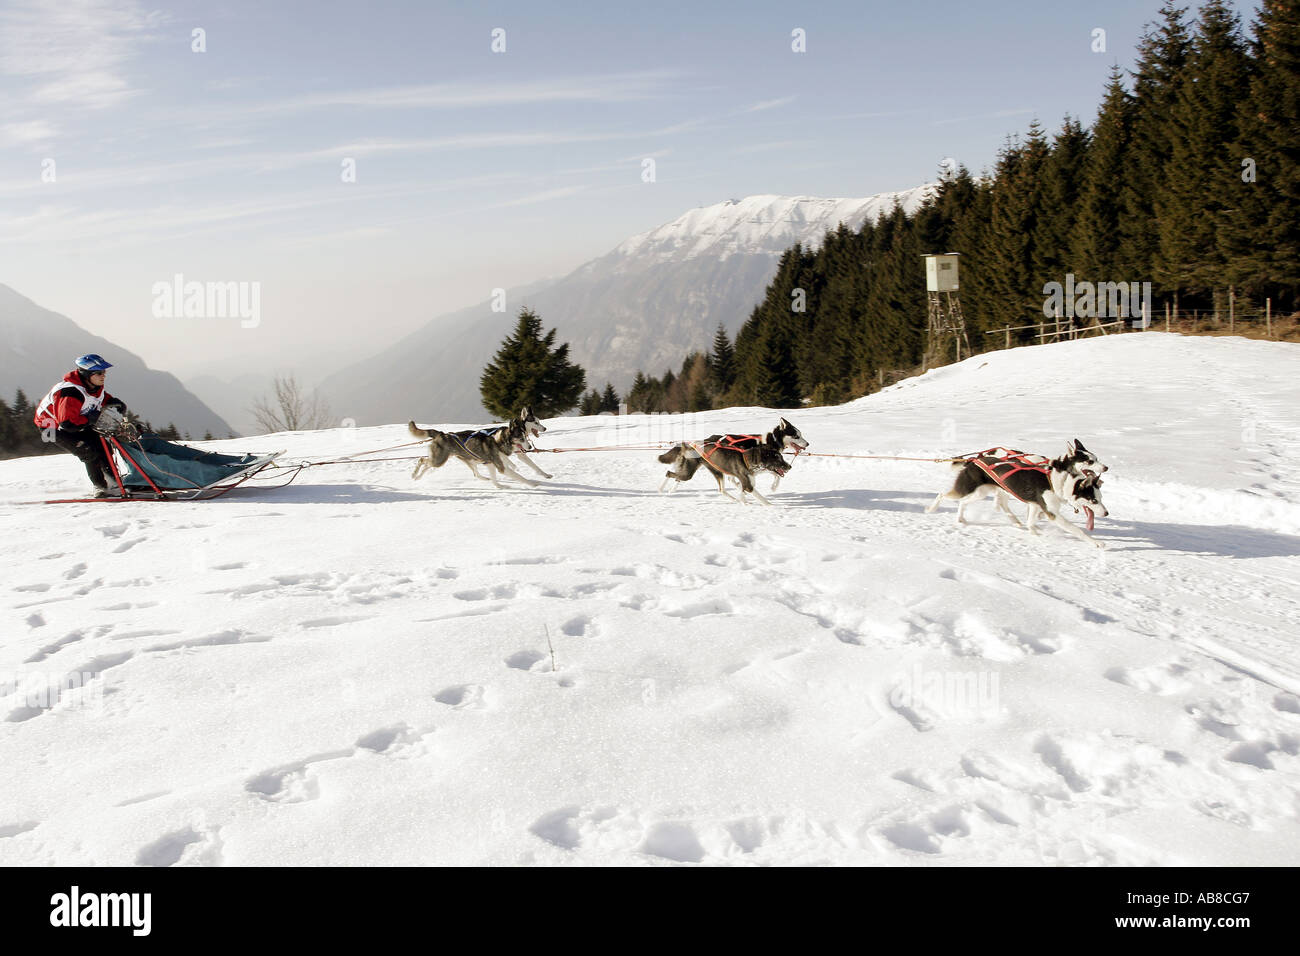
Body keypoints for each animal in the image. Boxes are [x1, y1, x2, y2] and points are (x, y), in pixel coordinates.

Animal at [655, 416, 806, 494]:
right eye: (796, 436)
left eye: (800, 434)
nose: (808, 443)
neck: (771, 441)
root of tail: (705, 440)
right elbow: (776, 475)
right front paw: (773, 487)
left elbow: (776, 473)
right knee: (676, 475)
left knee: (677, 476)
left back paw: (669, 489)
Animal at [925, 447, 1107, 546]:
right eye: (1093, 500)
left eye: (1101, 499)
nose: (1106, 513)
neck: (1058, 483)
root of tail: (974, 461)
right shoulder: (1053, 513)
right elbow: (1077, 530)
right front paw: (1097, 543)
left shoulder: (1035, 506)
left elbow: (1031, 522)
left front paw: (1034, 532)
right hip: (968, 489)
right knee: (943, 495)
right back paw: (931, 509)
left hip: (981, 493)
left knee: (964, 502)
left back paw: (961, 518)